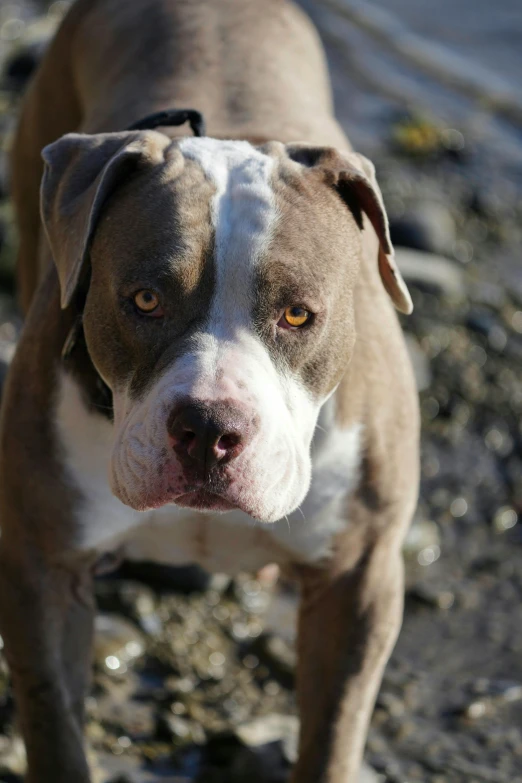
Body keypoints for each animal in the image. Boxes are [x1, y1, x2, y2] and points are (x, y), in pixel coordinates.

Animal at [0, 0, 418, 780]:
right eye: (144, 299)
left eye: (297, 314)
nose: (206, 429)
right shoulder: (43, 569)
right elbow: (56, 727)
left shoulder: (361, 582)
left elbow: (332, 736)